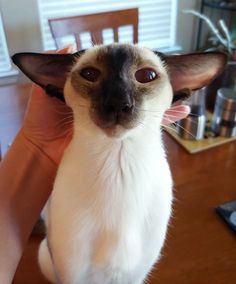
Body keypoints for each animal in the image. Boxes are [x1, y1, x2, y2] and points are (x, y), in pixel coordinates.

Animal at [12, 42, 226, 284]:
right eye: (90, 74)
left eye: (147, 76)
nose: (117, 103)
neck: (118, 165)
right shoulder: (72, 275)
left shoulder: (134, 275)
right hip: (46, 257)